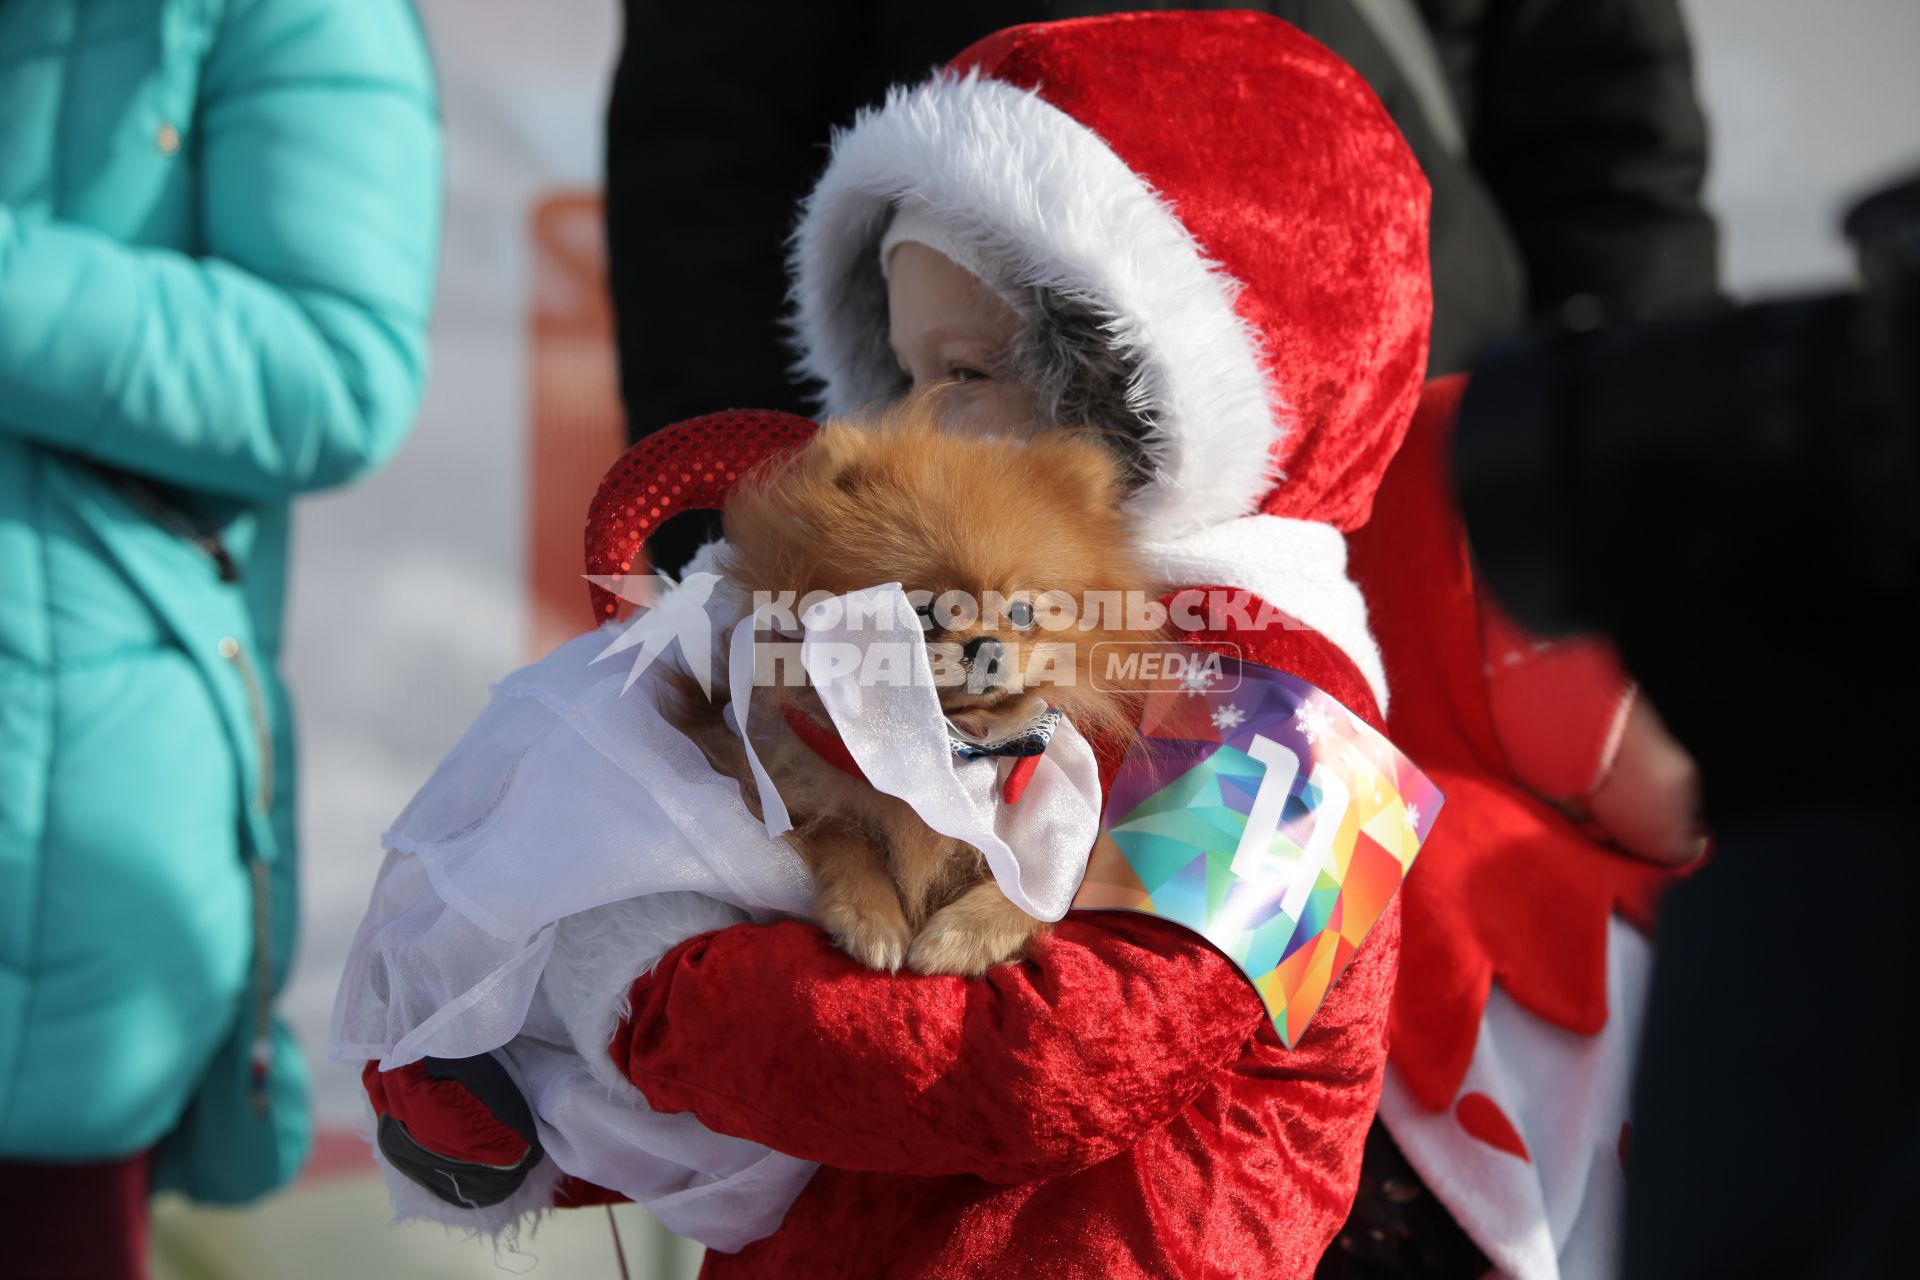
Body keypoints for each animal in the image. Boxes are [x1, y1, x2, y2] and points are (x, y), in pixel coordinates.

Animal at [668, 404, 1152, 974]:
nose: (986, 645)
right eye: (921, 613)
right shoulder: (775, 781)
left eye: (1021, 613)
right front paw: (871, 917)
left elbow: (1035, 893)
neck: (947, 746)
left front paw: (963, 934)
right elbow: (842, 834)